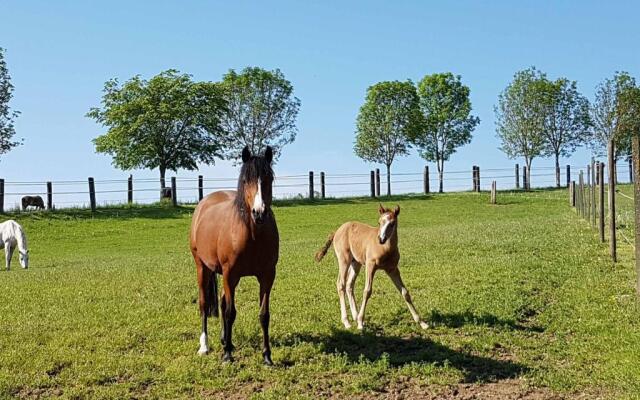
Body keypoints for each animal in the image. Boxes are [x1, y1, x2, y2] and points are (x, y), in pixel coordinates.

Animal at [190, 145, 280, 364]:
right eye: (246, 180)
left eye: (268, 178)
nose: (259, 212)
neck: (252, 235)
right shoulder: (230, 274)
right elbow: (231, 313)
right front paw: (227, 356)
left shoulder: (267, 276)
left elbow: (264, 315)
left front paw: (267, 356)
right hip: (202, 267)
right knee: (204, 304)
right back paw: (205, 346)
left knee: (222, 302)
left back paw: (225, 340)